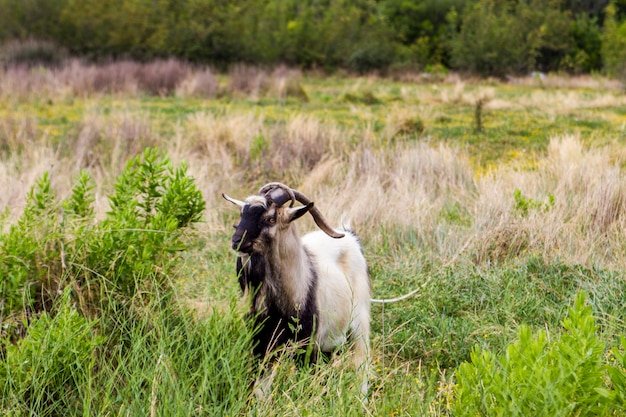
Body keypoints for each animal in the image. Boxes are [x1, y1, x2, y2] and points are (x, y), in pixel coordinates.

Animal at [222, 182, 370, 394]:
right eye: (242, 213)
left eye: (270, 218)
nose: (237, 241)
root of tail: (350, 237)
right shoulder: (262, 345)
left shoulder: (307, 346)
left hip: (359, 324)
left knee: (361, 364)